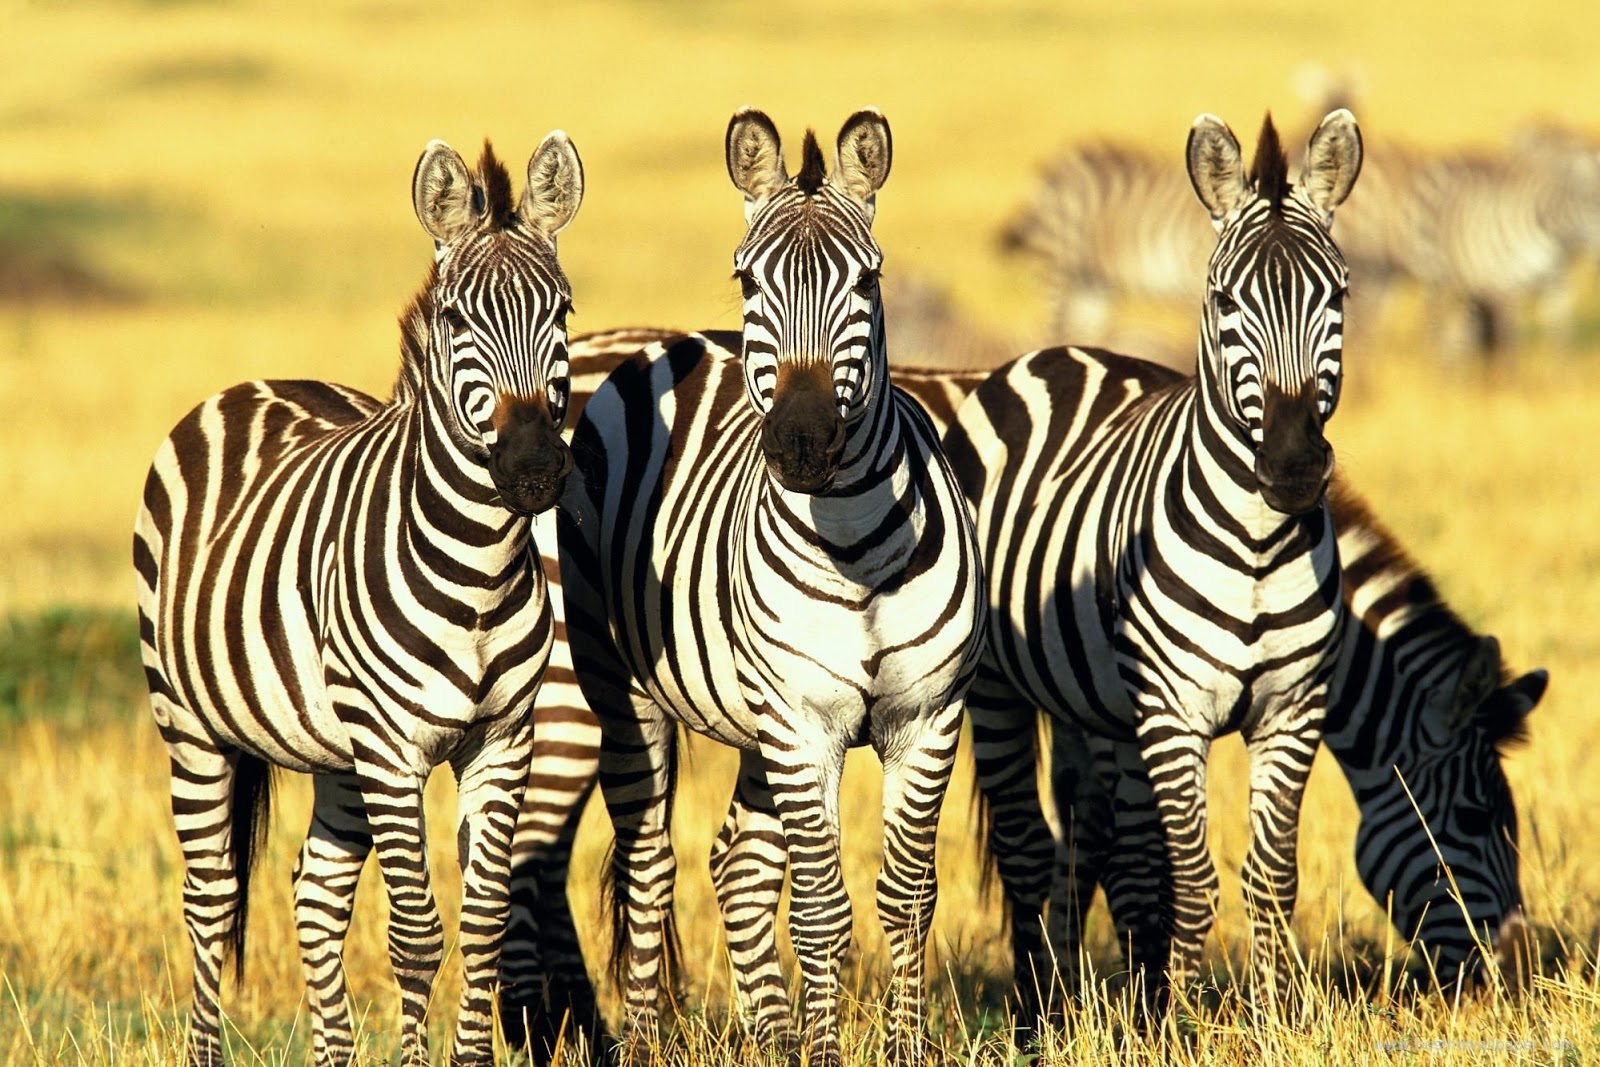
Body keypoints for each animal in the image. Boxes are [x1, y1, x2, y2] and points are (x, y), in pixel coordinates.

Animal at [133, 134, 584, 1066]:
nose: (533, 471)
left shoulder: (502, 739)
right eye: (457, 322)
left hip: (334, 750)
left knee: (315, 891)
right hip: (190, 724)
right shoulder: (392, 744)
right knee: (210, 896)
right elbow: (415, 934)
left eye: (563, 309)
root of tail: (251, 385)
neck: (480, 570)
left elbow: (482, 927)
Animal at [554, 108, 985, 1067]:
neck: (855, 546)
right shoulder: (802, 720)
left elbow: (908, 895)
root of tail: (651, 343)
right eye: (748, 280)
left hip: (756, 718)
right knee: (651, 863)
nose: (801, 442)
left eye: (868, 279)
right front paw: (825, 1053)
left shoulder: (926, 716)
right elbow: (821, 907)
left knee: (738, 864)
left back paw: (773, 1037)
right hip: (623, 688)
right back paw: (650, 1040)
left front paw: (898, 1046)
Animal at [942, 109, 1363, 1018]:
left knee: (1090, 840)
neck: (1257, 544)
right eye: (1224, 299)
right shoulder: (1174, 712)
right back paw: (1035, 1013)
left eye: (1338, 295)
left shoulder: (1293, 709)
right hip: (994, 689)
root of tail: (1055, 352)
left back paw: (1079, 1002)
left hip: (1091, 703)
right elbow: (1194, 881)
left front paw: (1272, 1017)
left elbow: (1270, 877)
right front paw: (1182, 1019)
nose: (1291, 466)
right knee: (1027, 848)